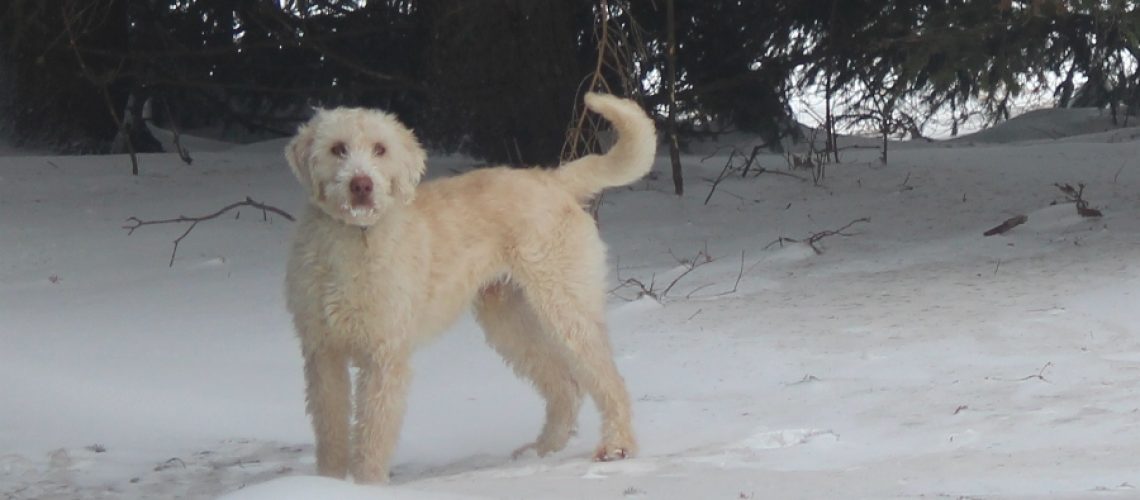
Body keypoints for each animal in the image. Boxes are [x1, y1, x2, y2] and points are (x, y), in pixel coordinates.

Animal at [285, 92, 661, 482]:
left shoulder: (384, 356)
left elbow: (373, 434)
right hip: (509, 320)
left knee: (608, 380)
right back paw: (541, 452)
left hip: (566, 306)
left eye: (380, 149)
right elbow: (330, 429)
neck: (355, 236)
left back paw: (617, 445)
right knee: (565, 386)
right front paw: (325, 484)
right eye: (337, 148)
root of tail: (553, 179)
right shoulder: (322, 354)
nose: (361, 185)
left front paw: (366, 484)